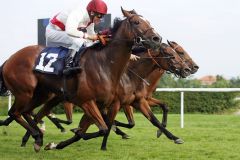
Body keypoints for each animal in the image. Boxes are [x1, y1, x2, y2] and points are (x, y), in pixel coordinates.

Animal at [0, 7, 161, 152]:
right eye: (136, 22)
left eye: (148, 21)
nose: (157, 38)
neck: (104, 63)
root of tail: (9, 59)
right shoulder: (87, 101)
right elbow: (101, 129)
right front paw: (60, 140)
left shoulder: (101, 104)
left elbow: (95, 129)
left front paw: (57, 143)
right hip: (24, 92)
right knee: (15, 113)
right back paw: (37, 135)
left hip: (42, 94)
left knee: (27, 112)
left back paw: (38, 137)